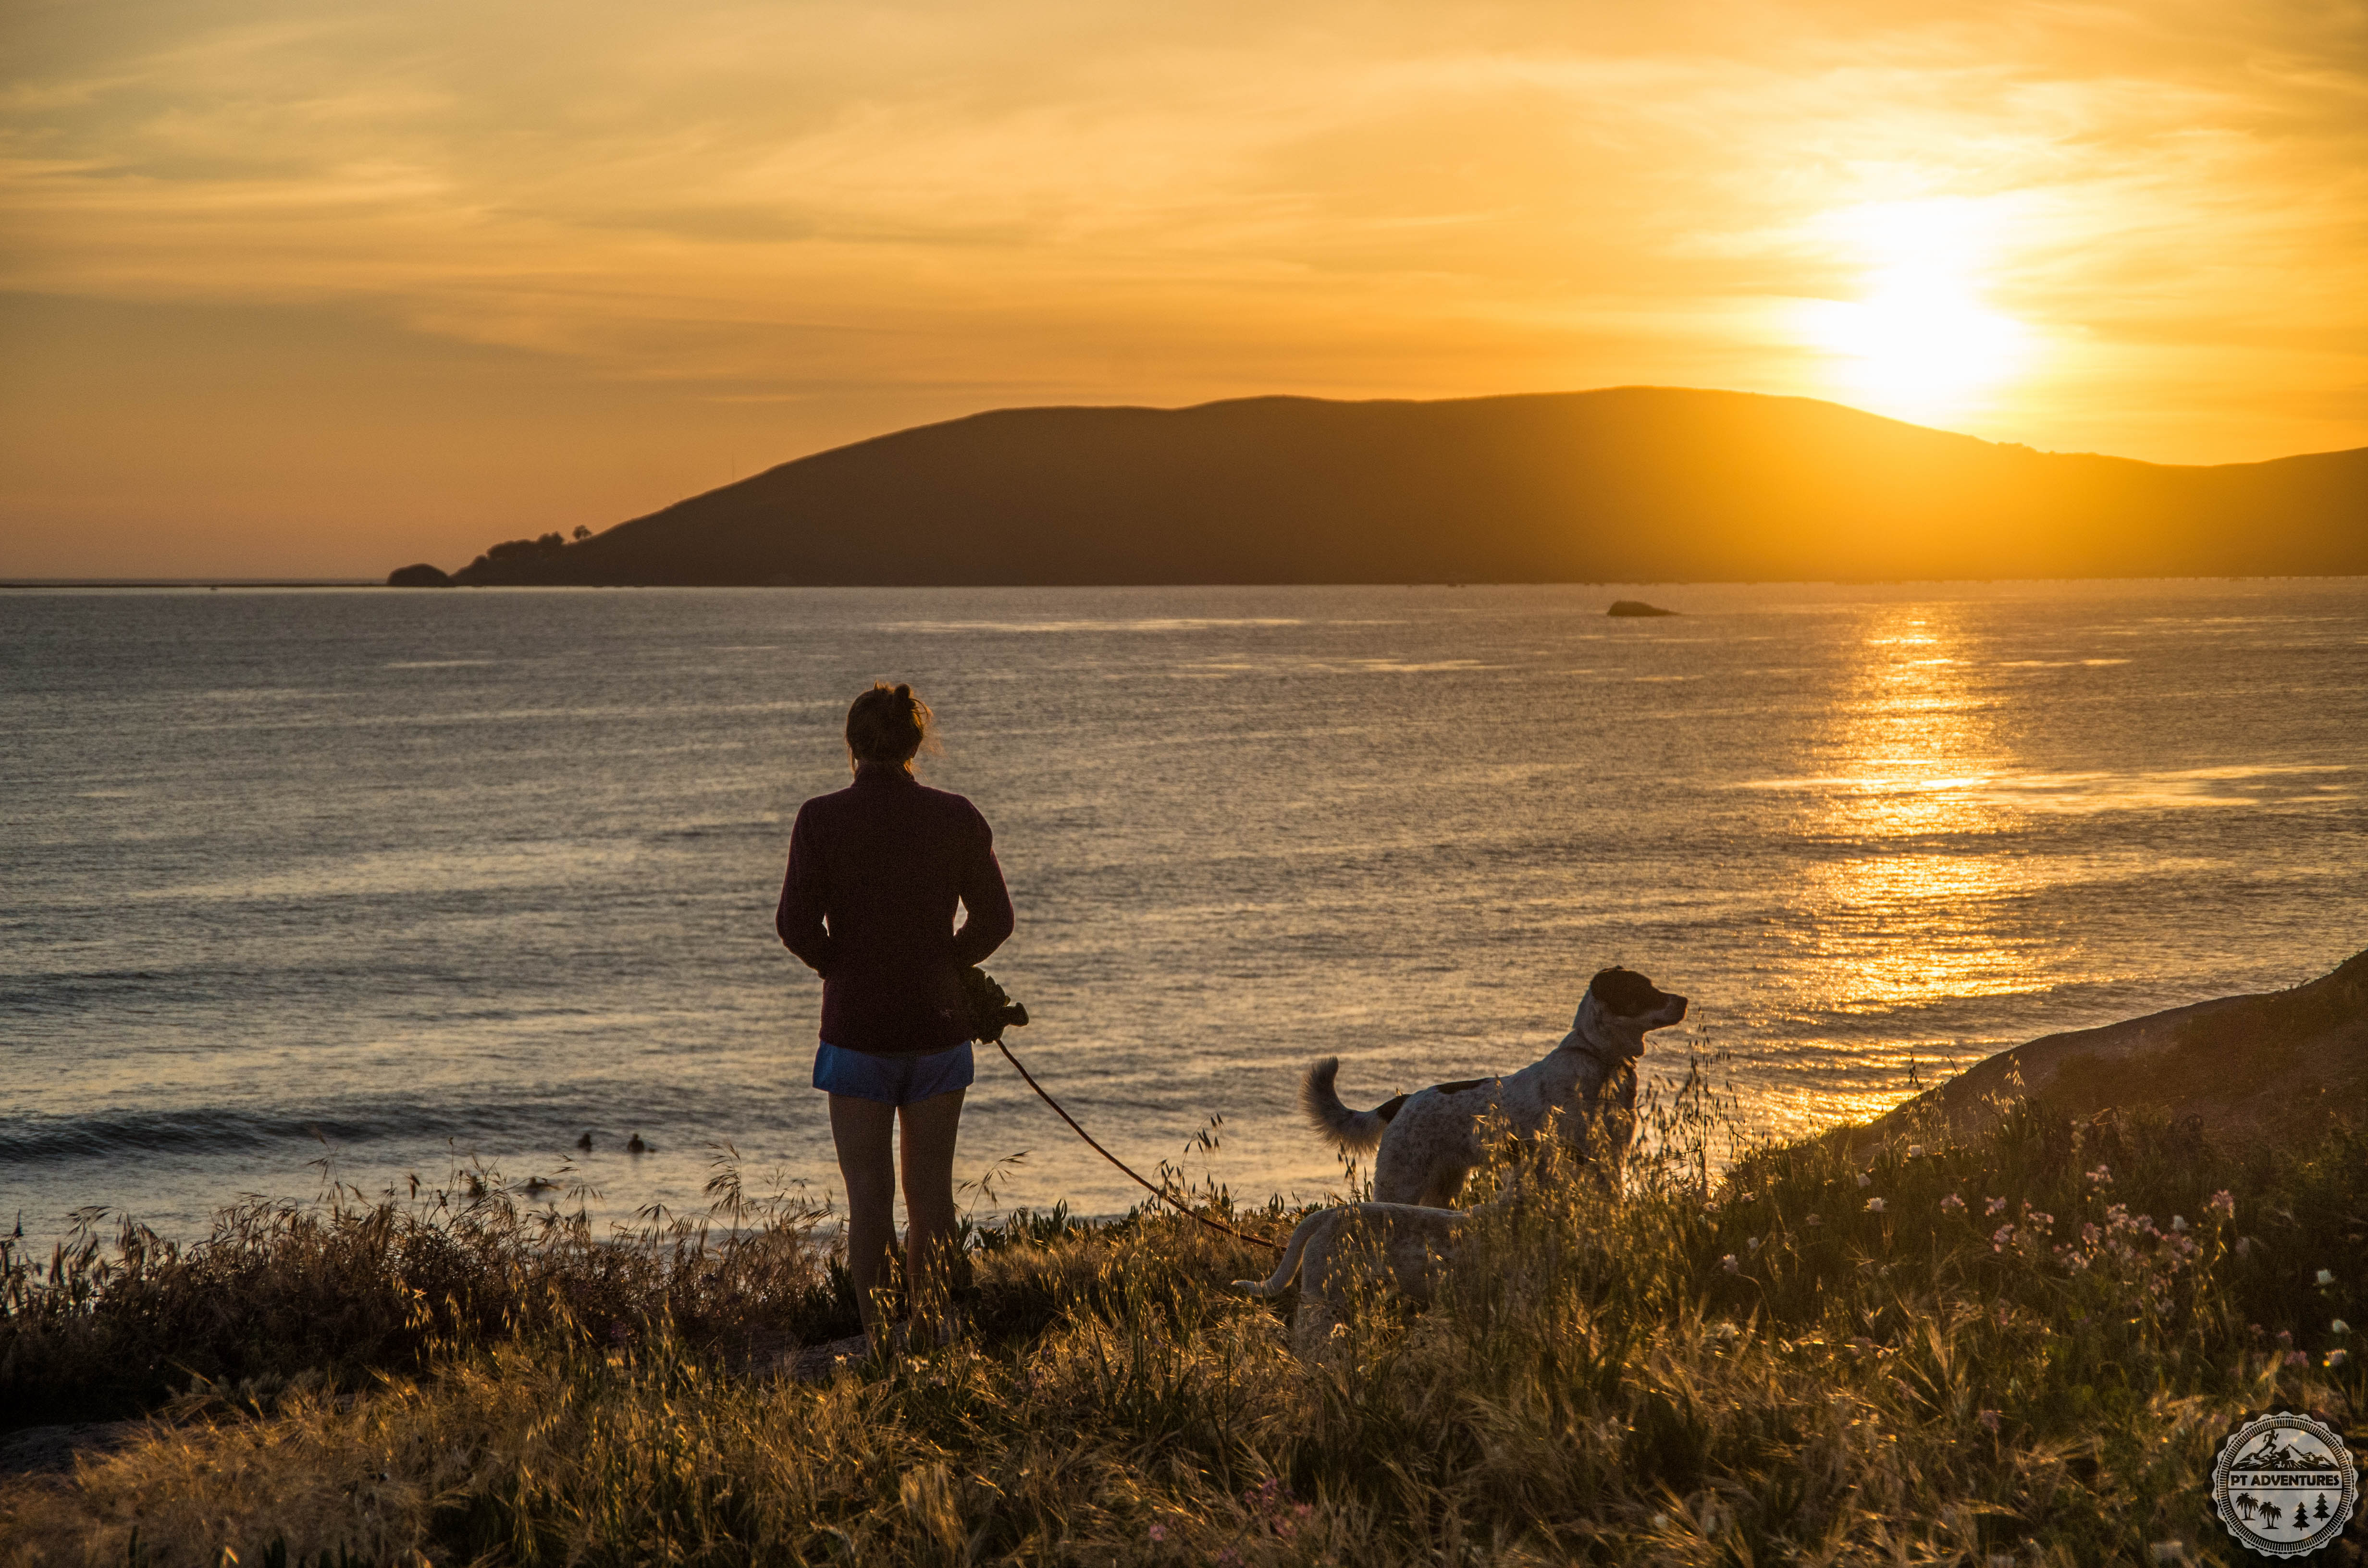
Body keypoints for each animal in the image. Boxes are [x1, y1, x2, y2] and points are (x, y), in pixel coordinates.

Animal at [1297, 966, 1686, 1208]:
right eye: (1643, 989)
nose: (1684, 1000)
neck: (1599, 1058)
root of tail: (1403, 1101)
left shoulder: (1610, 1154)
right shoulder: (1574, 1155)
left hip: (1445, 1183)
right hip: (1402, 1181)